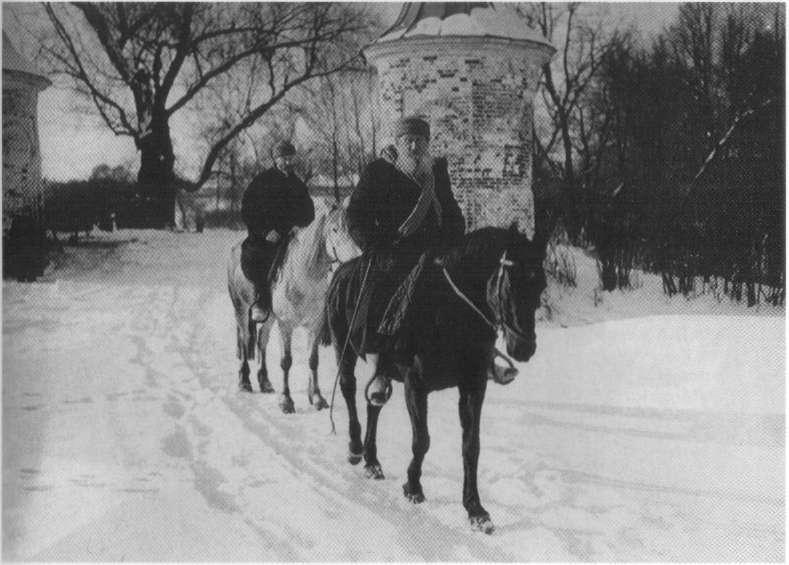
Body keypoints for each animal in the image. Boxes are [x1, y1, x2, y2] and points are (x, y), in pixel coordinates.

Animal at [226, 200, 358, 412]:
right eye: (334, 229)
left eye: (352, 228)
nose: (355, 258)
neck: (303, 277)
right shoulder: (286, 326)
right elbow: (286, 362)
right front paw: (286, 401)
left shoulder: (314, 325)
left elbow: (313, 361)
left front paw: (317, 398)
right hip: (241, 311)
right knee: (245, 341)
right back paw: (245, 382)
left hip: (269, 318)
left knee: (261, 340)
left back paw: (265, 382)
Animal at [324, 225, 544, 532]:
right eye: (511, 283)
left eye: (541, 285)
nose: (524, 348)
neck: (449, 311)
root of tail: (341, 272)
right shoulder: (416, 386)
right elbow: (422, 440)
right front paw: (413, 486)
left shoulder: (473, 386)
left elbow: (471, 446)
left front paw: (475, 509)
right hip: (344, 349)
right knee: (348, 389)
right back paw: (356, 449)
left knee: (374, 403)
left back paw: (372, 461)